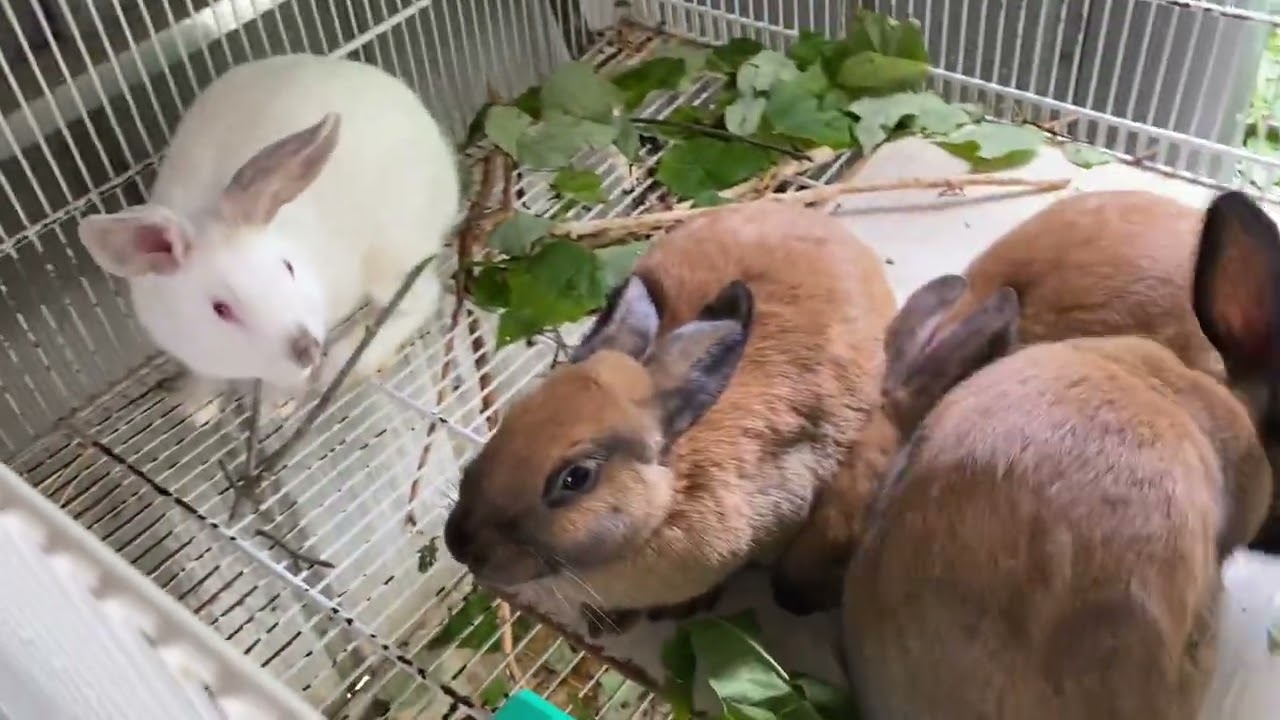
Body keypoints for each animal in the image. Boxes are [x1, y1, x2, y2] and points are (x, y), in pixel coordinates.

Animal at [77, 53, 461, 424]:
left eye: (288, 267)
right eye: (221, 309)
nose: (306, 348)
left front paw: (276, 405)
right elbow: (207, 378)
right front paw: (197, 407)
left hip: (393, 254)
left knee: (420, 299)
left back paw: (343, 361)